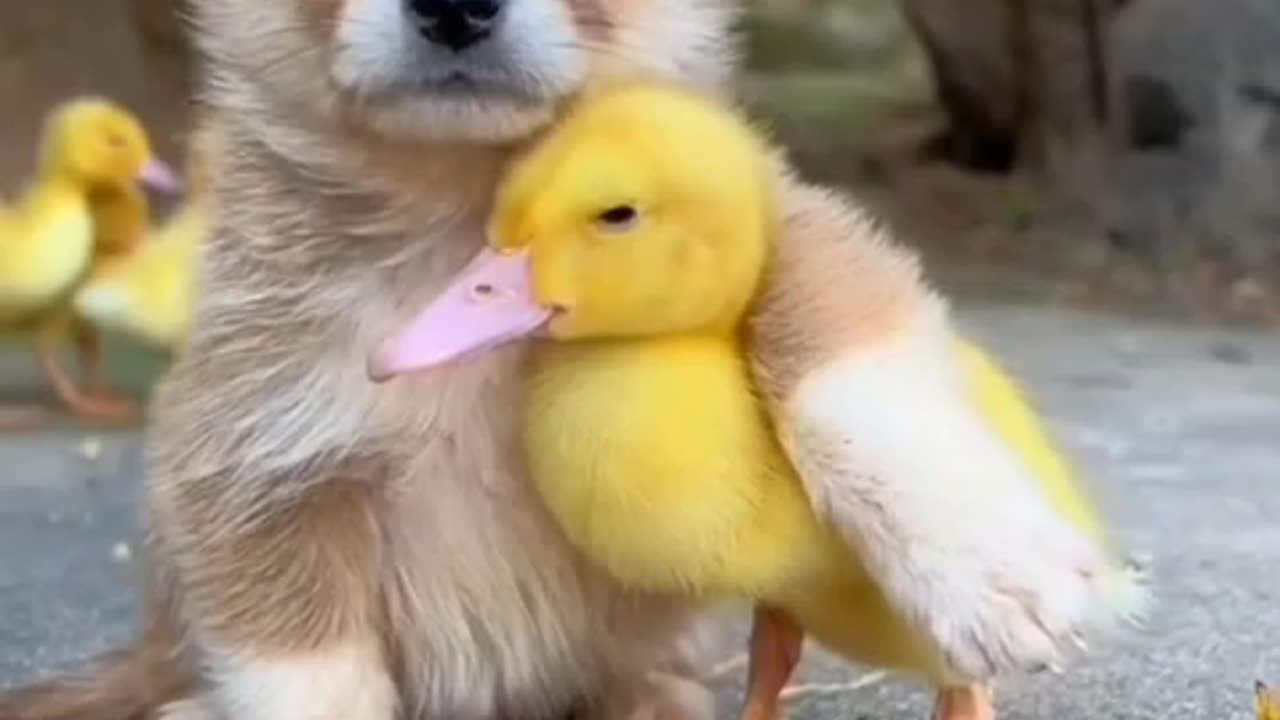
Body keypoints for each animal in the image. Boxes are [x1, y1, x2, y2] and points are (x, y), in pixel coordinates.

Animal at [0, 0, 1116, 712]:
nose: (454, 8)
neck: (457, 215)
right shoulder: (249, 463)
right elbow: (306, 671)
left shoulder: (781, 216)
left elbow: (837, 352)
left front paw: (986, 563)